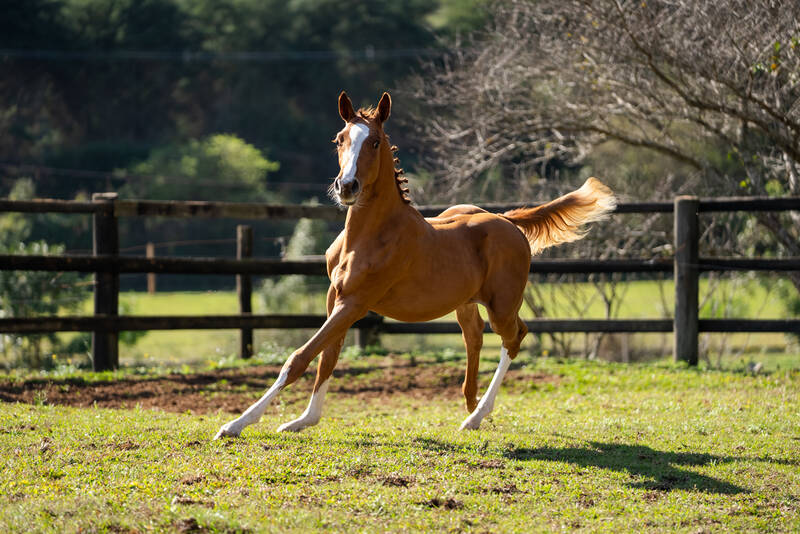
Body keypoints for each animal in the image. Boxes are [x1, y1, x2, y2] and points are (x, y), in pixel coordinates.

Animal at [211, 90, 612, 438]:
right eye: (339, 139)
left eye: (374, 142)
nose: (347, 187)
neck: (368, 236)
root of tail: (507, 220)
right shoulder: (333, 298)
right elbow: (328, 357)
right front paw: (303, 420)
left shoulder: (355, 303)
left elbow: (300, 357)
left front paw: (234, 425)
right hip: (466, 304)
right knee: (476, 337)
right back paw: (471, 408)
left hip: (502, 305)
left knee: (514, 337)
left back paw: (476, 415)